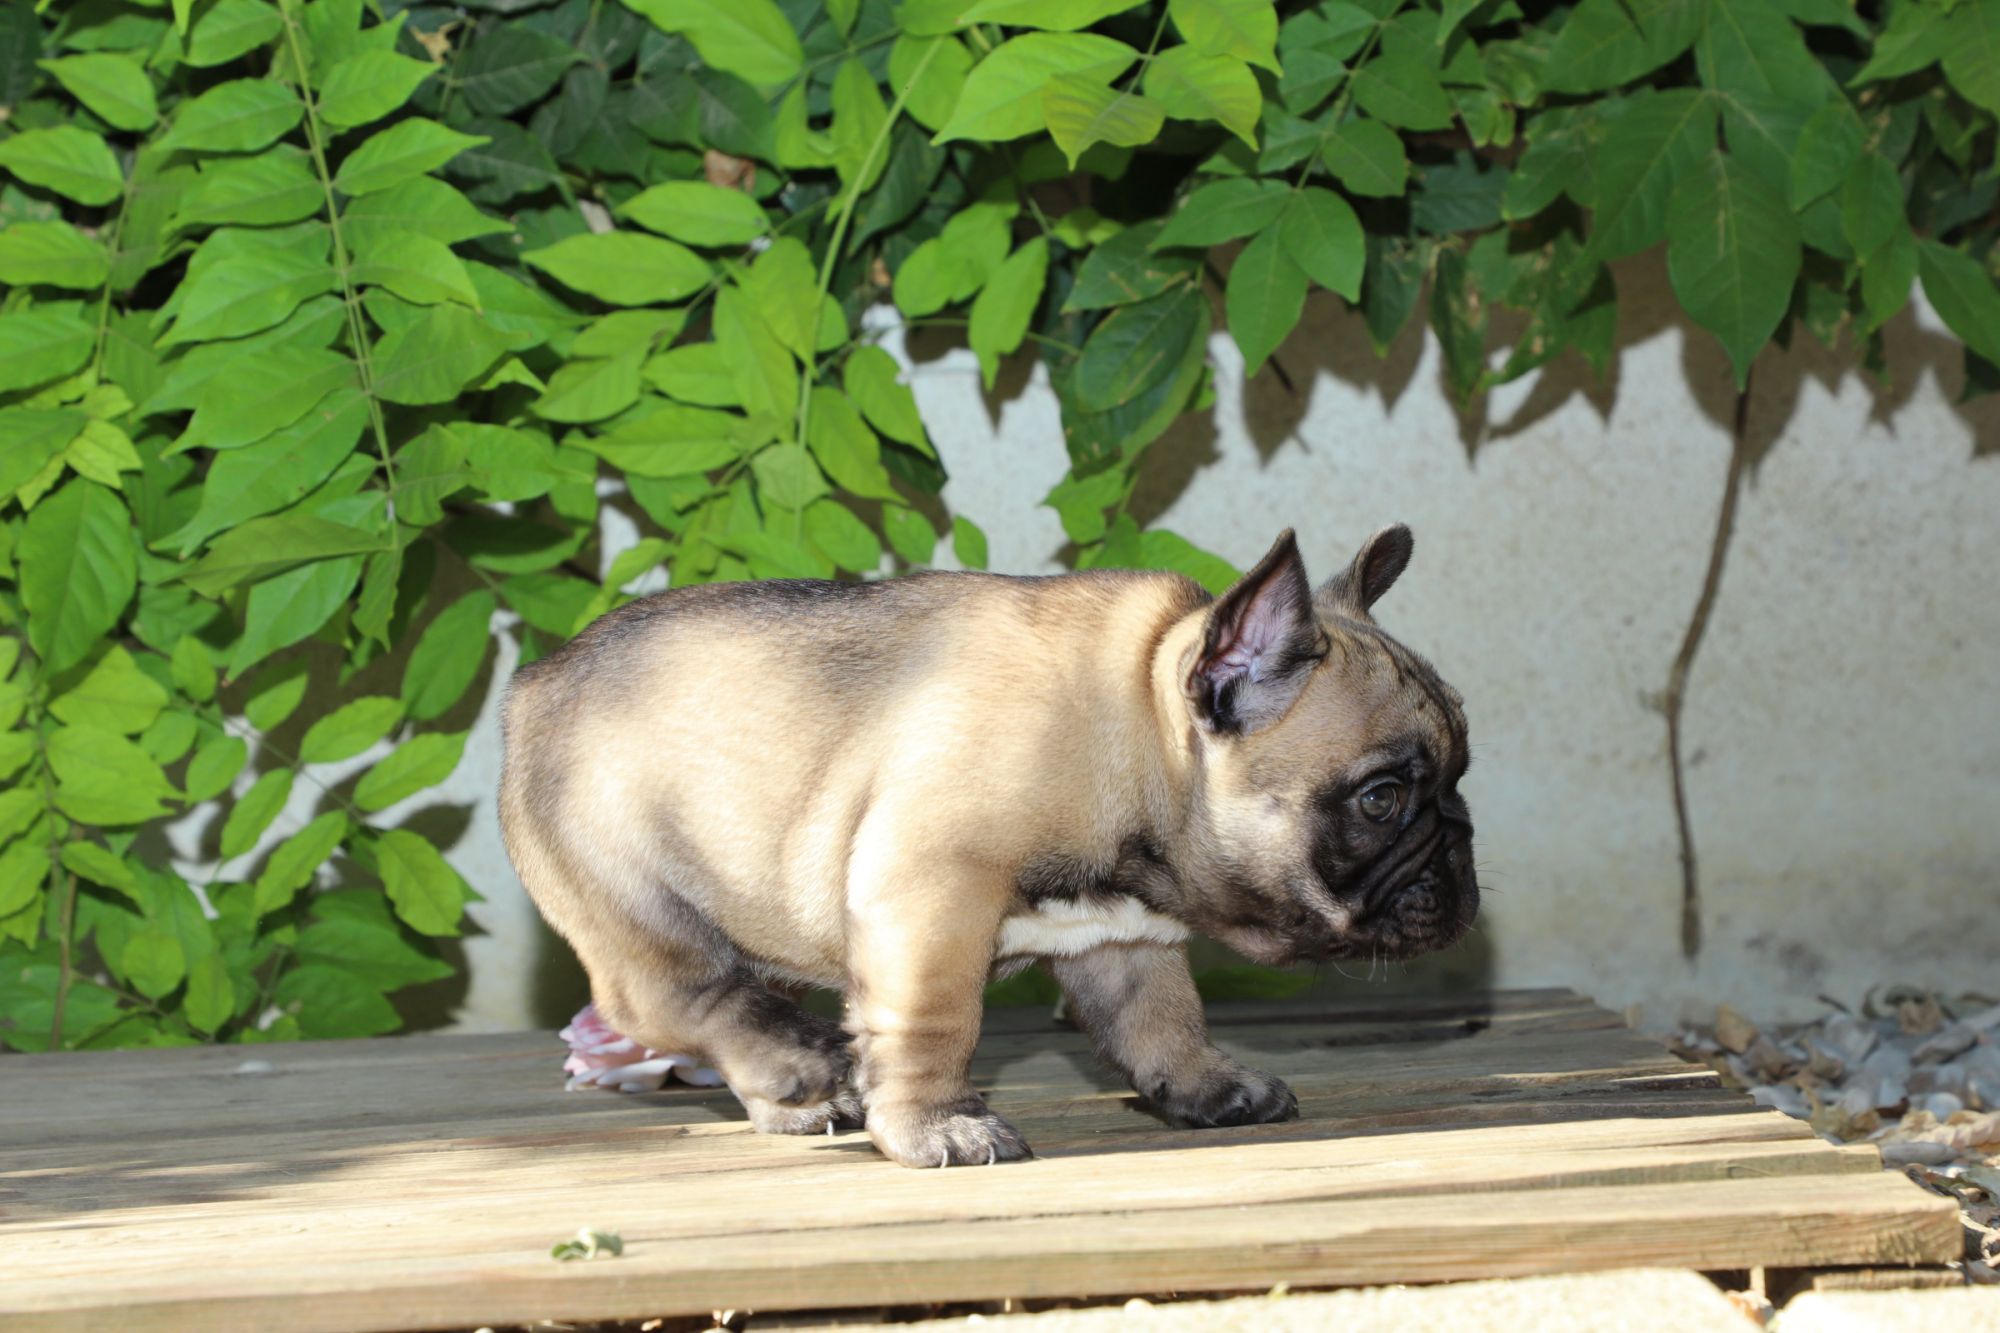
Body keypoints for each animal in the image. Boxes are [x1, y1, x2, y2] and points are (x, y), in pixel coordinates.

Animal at [500, 526, 1477, 1167]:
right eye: (1382, 799)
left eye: (1462, 769)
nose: (1462, 852)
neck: (1131, 727)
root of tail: (532, 688)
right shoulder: (929, 899)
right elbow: (935, 1021)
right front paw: (936, 1124)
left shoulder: (1124, 934)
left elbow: (1161, 1014)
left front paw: (1204, 1085)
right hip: (639, 906)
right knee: (683, 1000)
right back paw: (800, 1063)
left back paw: (790, 1102)